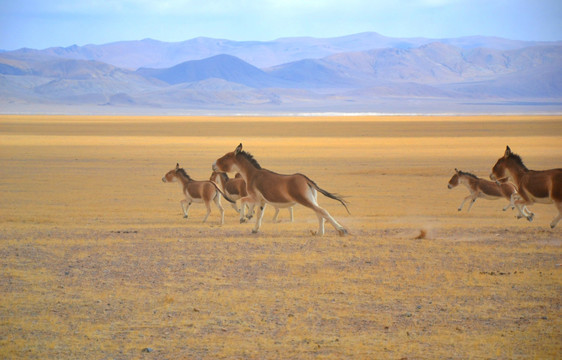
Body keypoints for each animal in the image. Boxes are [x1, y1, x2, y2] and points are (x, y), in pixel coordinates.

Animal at [213, 143, 348, 236]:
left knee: (322, 211)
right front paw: (253, 224)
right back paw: (320, 233)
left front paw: (244, 218)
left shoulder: (256, 197)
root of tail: (305, 178)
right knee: (319, 213)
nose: (213, 165)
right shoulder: (261, 201)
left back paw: (341, 230)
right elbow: (259, 214)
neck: (253, 174)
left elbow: (244, 201)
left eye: (227, 156)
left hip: (304, 199)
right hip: (311, 199)